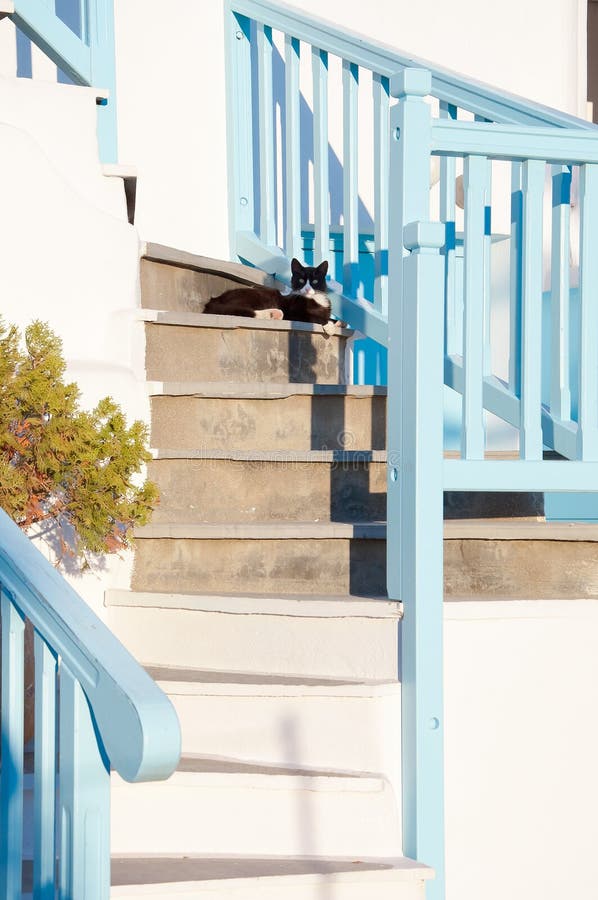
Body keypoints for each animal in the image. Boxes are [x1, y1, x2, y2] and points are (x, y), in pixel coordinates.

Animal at [203, 256, 332, 326]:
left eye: (315, 281)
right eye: (301, 280)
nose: (307, 289)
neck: (315, 299)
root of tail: (213, 301)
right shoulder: (295, 314)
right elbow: (318, 319)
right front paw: (331, 325)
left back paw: (274, 314)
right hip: (252, 296)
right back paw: (272, 314)